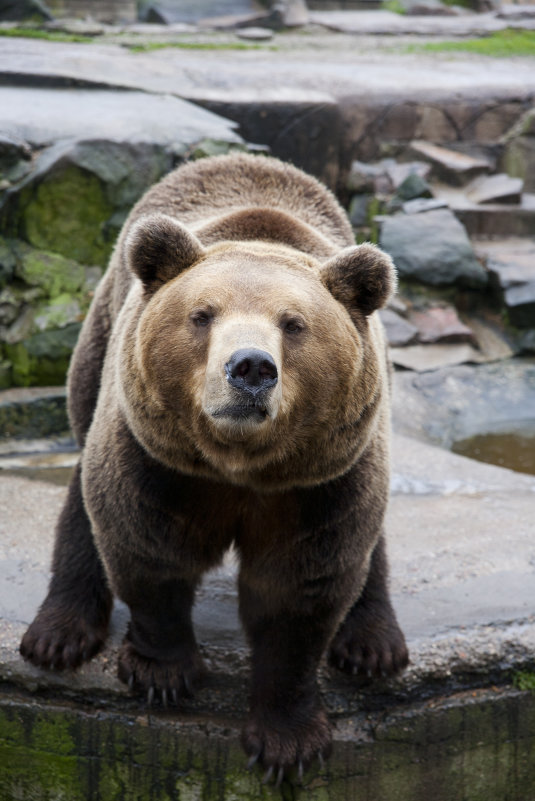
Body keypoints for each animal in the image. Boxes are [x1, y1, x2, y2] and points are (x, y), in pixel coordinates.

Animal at [19, 152, 406, 780]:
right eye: (202, 315)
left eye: (294, 323)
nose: (250, 367)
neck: (239, 466)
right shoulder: (158, 458)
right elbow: (146, 548)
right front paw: (163, 674)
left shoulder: (320, 482)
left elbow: (301, 590)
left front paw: (287, 742)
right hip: (101, 350)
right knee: (84, 485)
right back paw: (59, 633)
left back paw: (373, 644)